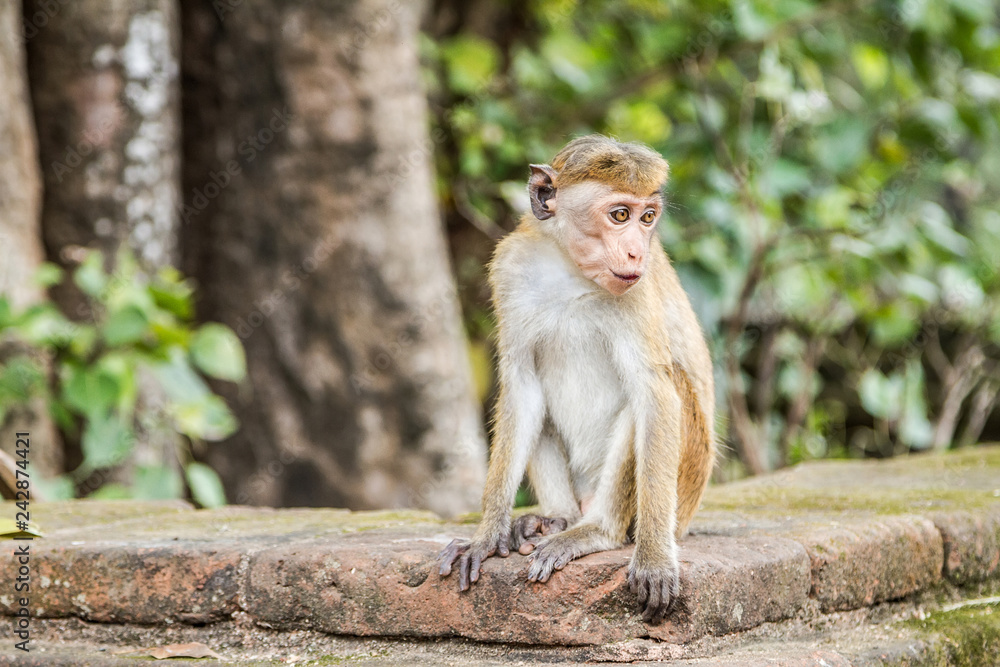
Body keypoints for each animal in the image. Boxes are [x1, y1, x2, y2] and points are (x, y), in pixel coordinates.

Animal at [436, 133, 712, 624]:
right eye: (619, 215)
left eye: (647, 217)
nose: (637, 250)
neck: (570, 271)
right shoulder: (510, 267)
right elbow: (523, 386)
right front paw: (486, 536)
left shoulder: (638, 288)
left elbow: (655, 393)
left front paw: (655, 559)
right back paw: (553, 519)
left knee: (654, 397)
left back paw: (595, 530)